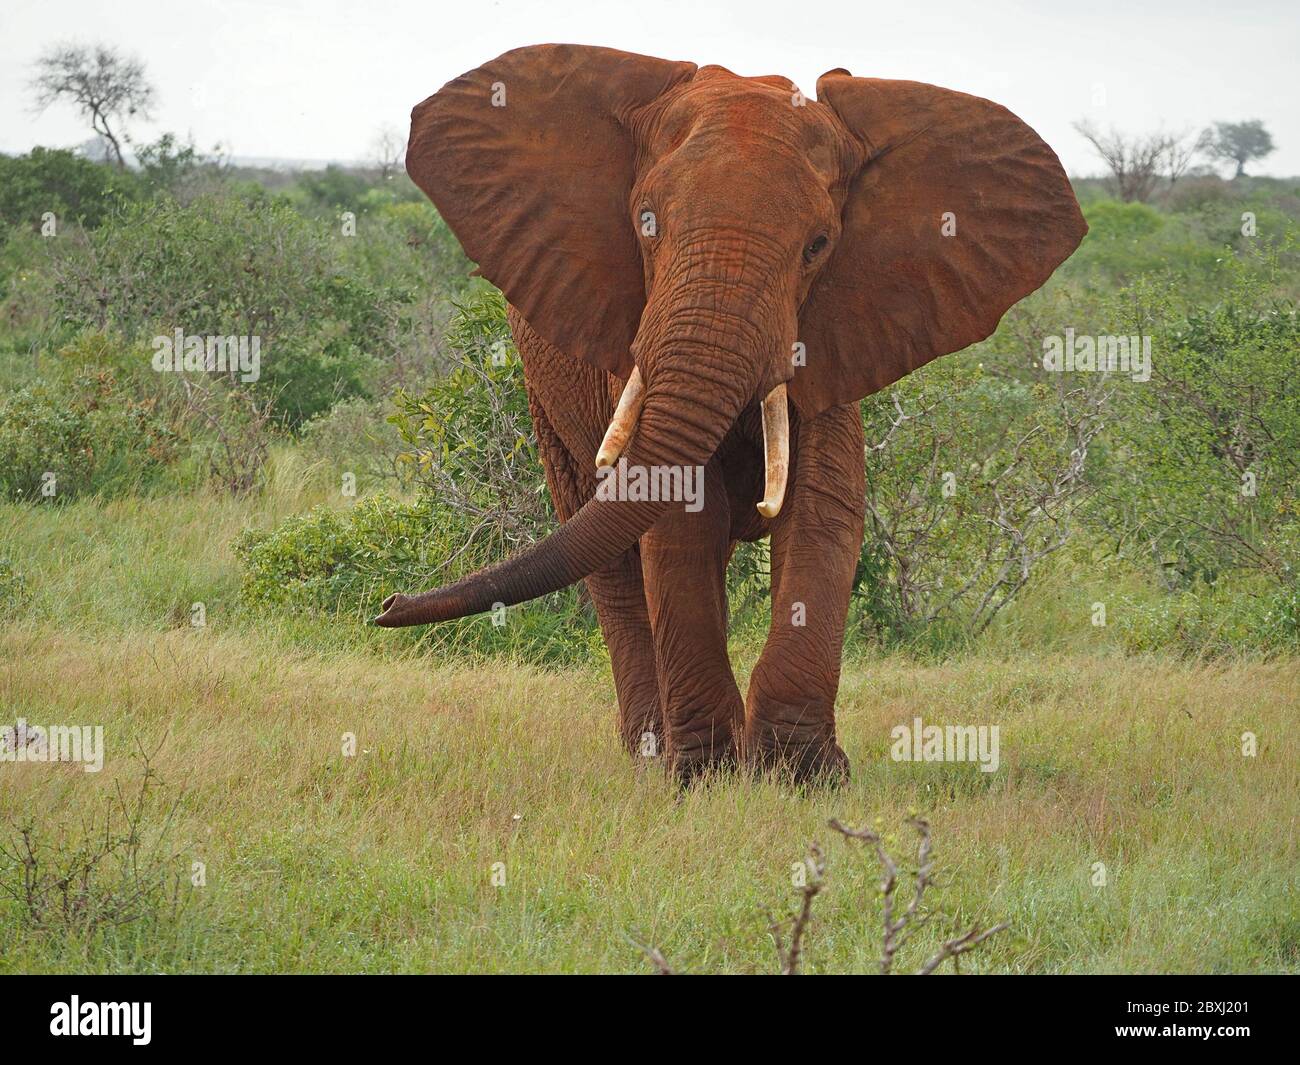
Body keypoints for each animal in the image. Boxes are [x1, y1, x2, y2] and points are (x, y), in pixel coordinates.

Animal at [375, 44, 1086, 785]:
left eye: (818, 245)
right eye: (646, 223)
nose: (387, 603)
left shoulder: (838, 330)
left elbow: (823, 510)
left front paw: (803, 776)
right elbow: (678, 514)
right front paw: (703, 779)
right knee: (607, 556)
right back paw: (648, 754)